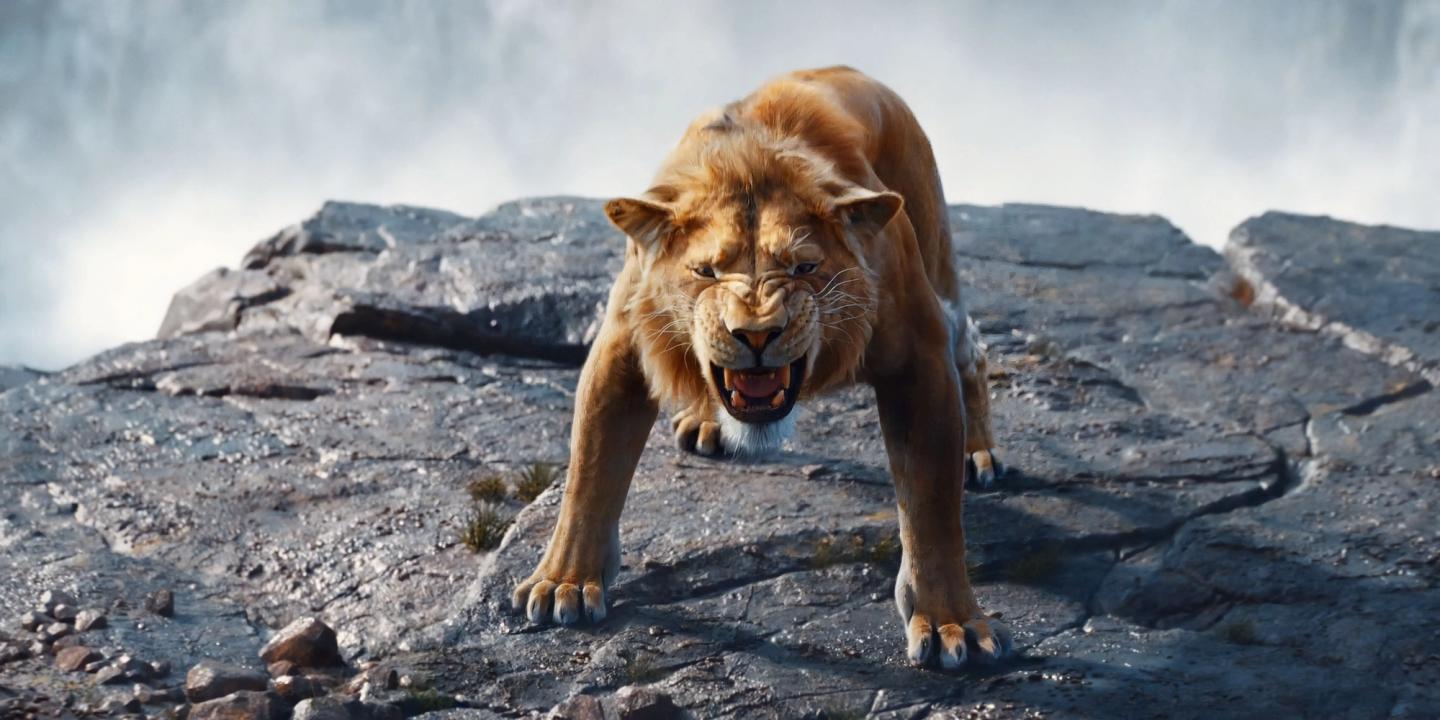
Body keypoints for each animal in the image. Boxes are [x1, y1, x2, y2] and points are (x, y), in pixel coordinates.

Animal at [511, 66, 1010, 668]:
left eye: (803, 267)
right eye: (705, 271)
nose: (754, 333)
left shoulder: (920, 356)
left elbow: (932, 506)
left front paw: (950, 622)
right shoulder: (624, 343)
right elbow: (590, 471)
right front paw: (562, 581)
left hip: (937, 262)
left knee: (973, 350)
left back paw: (978, 454)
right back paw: (705, 422)